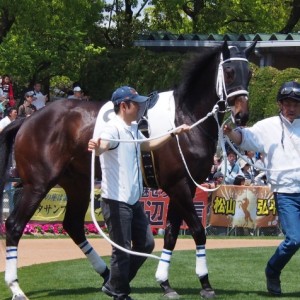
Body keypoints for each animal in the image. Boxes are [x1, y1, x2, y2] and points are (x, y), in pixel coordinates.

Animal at [0, 41, 255, 298]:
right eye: (229, 72)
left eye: (250, 73)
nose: (242, 115)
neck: (185, 117)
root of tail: (28, 120)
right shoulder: (178, 185)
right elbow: (197, 229)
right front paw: (205, 283)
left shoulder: (185, 187)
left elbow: (171, 234)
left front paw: (164, 282)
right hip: (38, 184)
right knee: (14, 226)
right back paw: (16, 286)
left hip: (77, 184)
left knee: (73, 225)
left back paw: (107, 276)